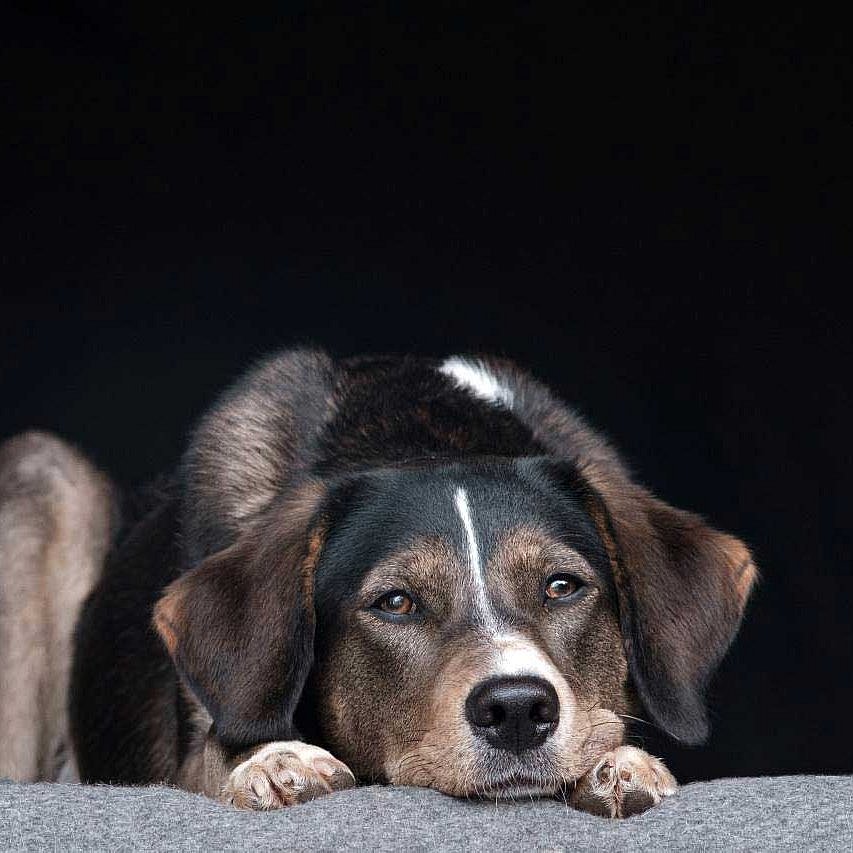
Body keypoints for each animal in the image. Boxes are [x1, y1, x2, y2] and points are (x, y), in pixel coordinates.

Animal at [1, 350, 760, 816]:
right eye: (395, 602)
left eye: (561, 587)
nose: (518, 710)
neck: (420, 433)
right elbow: (218, 751)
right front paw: (274, 763)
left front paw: (622, 765)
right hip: (49, 478)